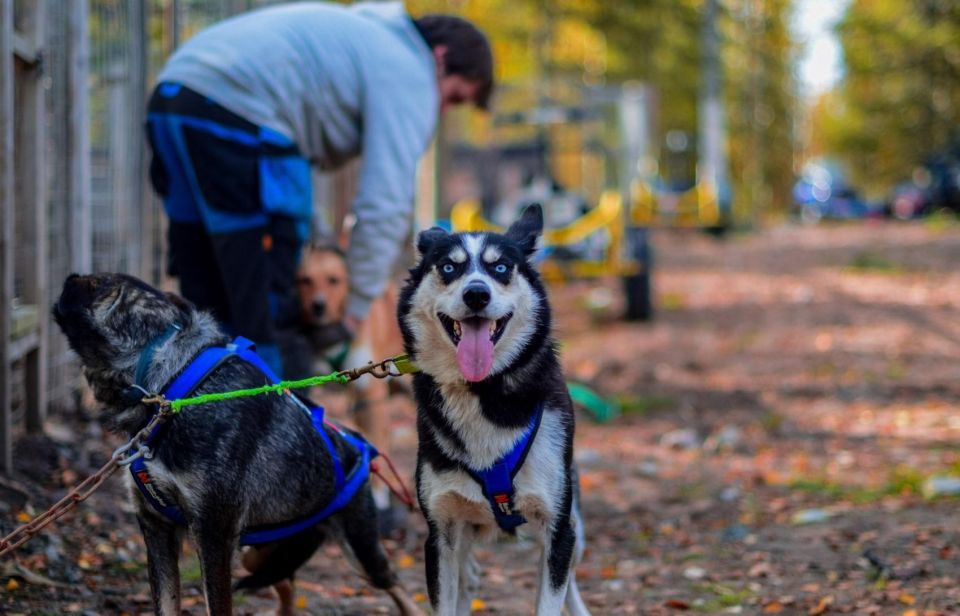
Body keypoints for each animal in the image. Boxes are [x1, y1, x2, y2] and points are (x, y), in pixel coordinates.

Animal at [51, 274, 420, 616]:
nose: (68, 278)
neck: (174, 387)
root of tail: (359, 448)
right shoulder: (157, 528)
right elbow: (166, 605)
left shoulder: (213, 533)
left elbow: (217, 605)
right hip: (256, 555)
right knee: (286, 585)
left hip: (361, 551)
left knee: (399, 589)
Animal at [396, 205, 588, 612]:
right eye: (448, 267)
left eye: (500, 267)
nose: (476, 294)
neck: (482, 391)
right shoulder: (440, 533)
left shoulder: (557, 527)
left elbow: (552, 596)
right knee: (469, 576)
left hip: (575, 527)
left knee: (570, 582)